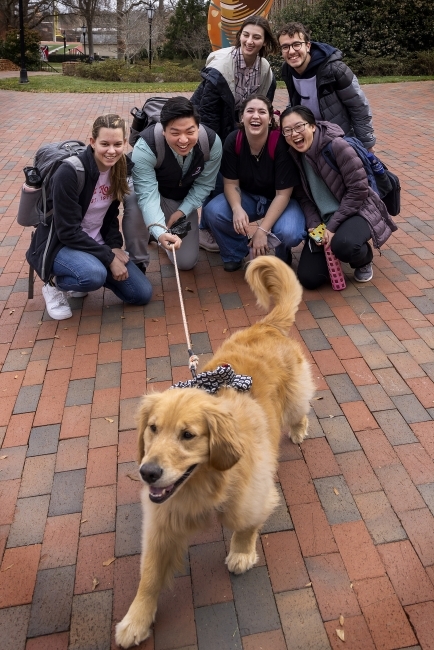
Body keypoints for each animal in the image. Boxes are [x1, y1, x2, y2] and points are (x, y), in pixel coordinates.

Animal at [115, 256, 316, 644]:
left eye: (188, 435)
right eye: (152, 429)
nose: (148, 473)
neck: (203, 485)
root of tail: (265, 326)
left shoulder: (252, 496)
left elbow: (245, 524)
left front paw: (241, 553)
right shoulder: (161, 522)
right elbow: (149, 576)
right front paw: (136, 619)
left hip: (296, 400)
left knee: (301, 411)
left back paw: (299, 431)